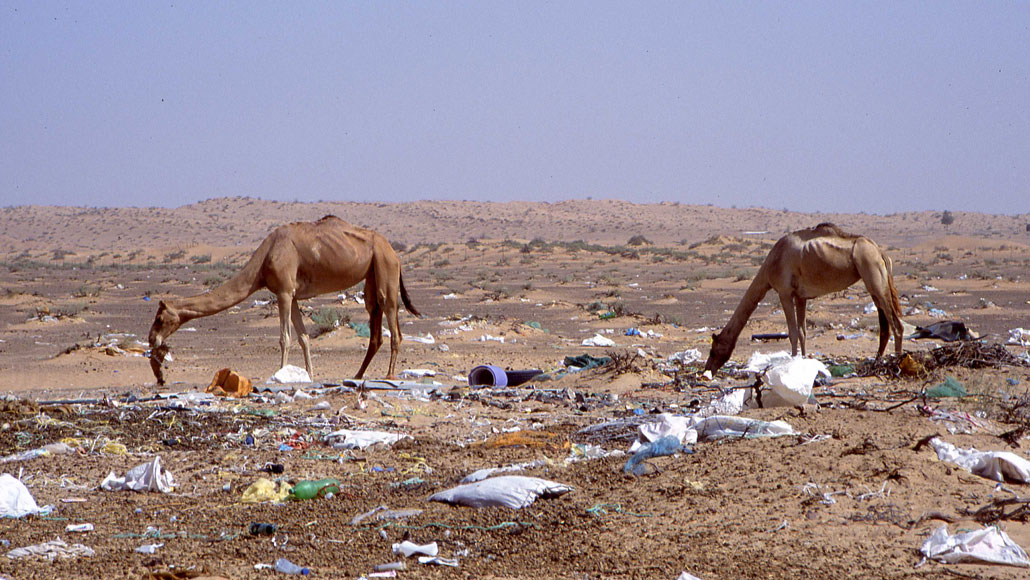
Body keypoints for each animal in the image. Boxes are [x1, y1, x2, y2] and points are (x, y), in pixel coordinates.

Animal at [148, 215, 419, 385]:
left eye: (160, 318)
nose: (152, 339)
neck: (263, 260)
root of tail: (394, 251)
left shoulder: (284, 292)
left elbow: (284, 337)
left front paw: (279, 374)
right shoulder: (294, 294)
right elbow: (304, 336)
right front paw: (308, 375)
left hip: (385, 266)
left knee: (391, 315)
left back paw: (390, 374)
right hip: (372, 273)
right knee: (374, 317)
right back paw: (358, 374)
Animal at [704, 223, 903, 373]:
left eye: (713, 351)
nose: (707, 369)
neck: (770, 266)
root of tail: (881, 252)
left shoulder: (784, 292)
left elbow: (792, 332)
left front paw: (792, 363)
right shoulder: (801, 296)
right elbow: (802, 332)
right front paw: (804, 361)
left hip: (872, 273)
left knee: (897, 324)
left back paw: (897, 364)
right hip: (874, 282)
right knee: (885, 325)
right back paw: (877, 362)